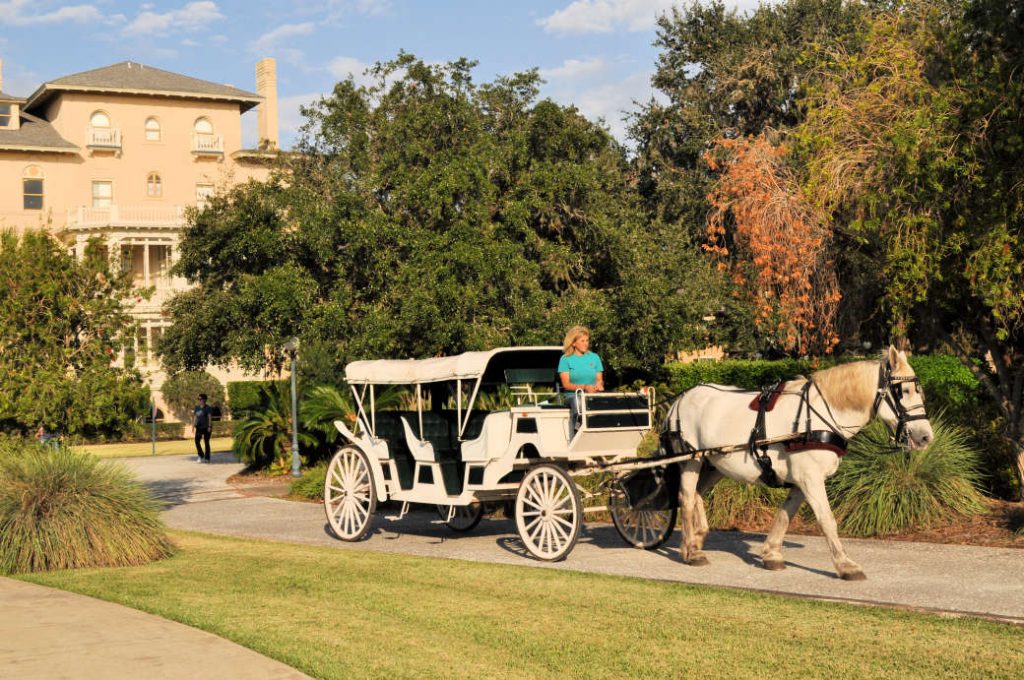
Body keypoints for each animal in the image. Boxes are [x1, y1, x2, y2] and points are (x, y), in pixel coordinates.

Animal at [663, 348, 937, 581]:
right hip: (691, 460)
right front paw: (846, 565)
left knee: (697, 494)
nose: (925, 437)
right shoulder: (810, 478)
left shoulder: (801, 480)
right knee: (686, 497)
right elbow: (827, 519)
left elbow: (786, 515)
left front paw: (771, 554)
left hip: (715, 465)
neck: (820, 416)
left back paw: (697, 538)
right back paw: (691, 551)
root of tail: (682, 398)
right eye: (904, 390)